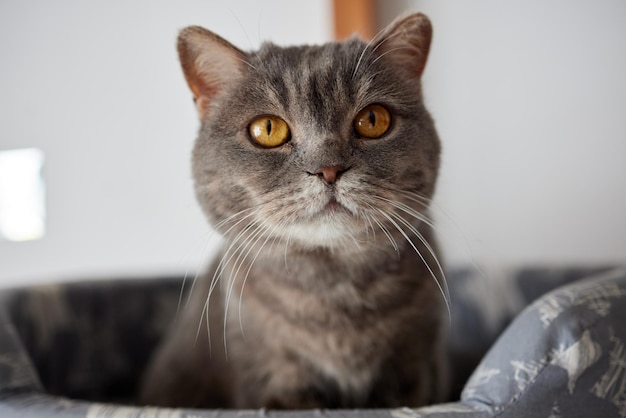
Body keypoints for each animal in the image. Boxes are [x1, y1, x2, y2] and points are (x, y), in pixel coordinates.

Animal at [139, 12, 446, 408]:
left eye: (373, 120)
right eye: (267, 129)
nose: (328, 168)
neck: (335, 291)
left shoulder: (416, 371)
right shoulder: (274, 380)